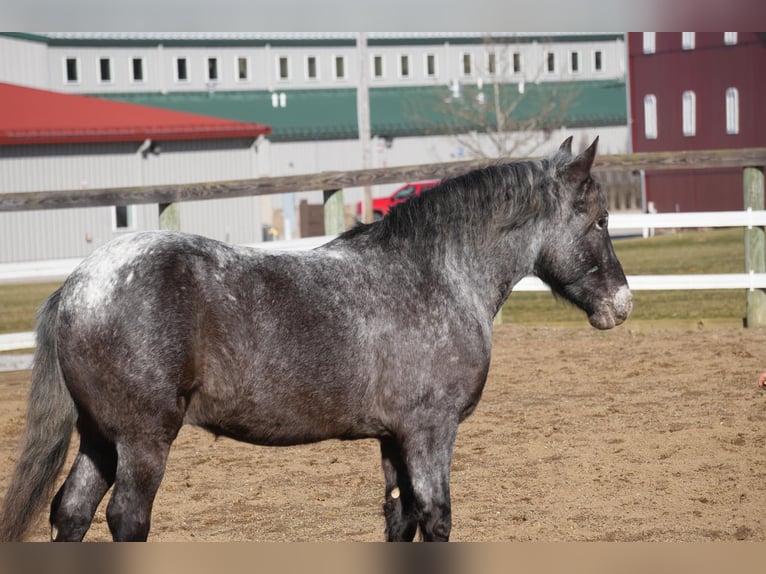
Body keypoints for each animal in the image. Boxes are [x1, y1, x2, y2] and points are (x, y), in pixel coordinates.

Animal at [1, 137, 636, 544]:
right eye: (601, 220)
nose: (622, 304)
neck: (434, 274)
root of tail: (80, 283)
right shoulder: (430, 431)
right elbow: (437, 518)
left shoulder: (393, 438)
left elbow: (401, 520)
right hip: (142, 440)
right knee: (126, 520)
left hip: (99, 438)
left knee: (72, 512)